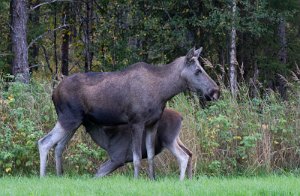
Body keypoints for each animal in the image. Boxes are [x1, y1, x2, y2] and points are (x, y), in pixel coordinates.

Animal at [38, 47, 219, 179]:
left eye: (202, 68)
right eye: (197, 70)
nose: (215, 90)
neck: (163, 92)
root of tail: (53, 93)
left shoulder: (152, 123)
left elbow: (151, 155)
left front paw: (153, 179)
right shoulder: (136, 121)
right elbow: (137, 157)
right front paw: (136, 179)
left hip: (75, 122)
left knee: (59, 146)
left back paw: (60, 175)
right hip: (68, 118)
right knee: (44, 142)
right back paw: (43, 177)